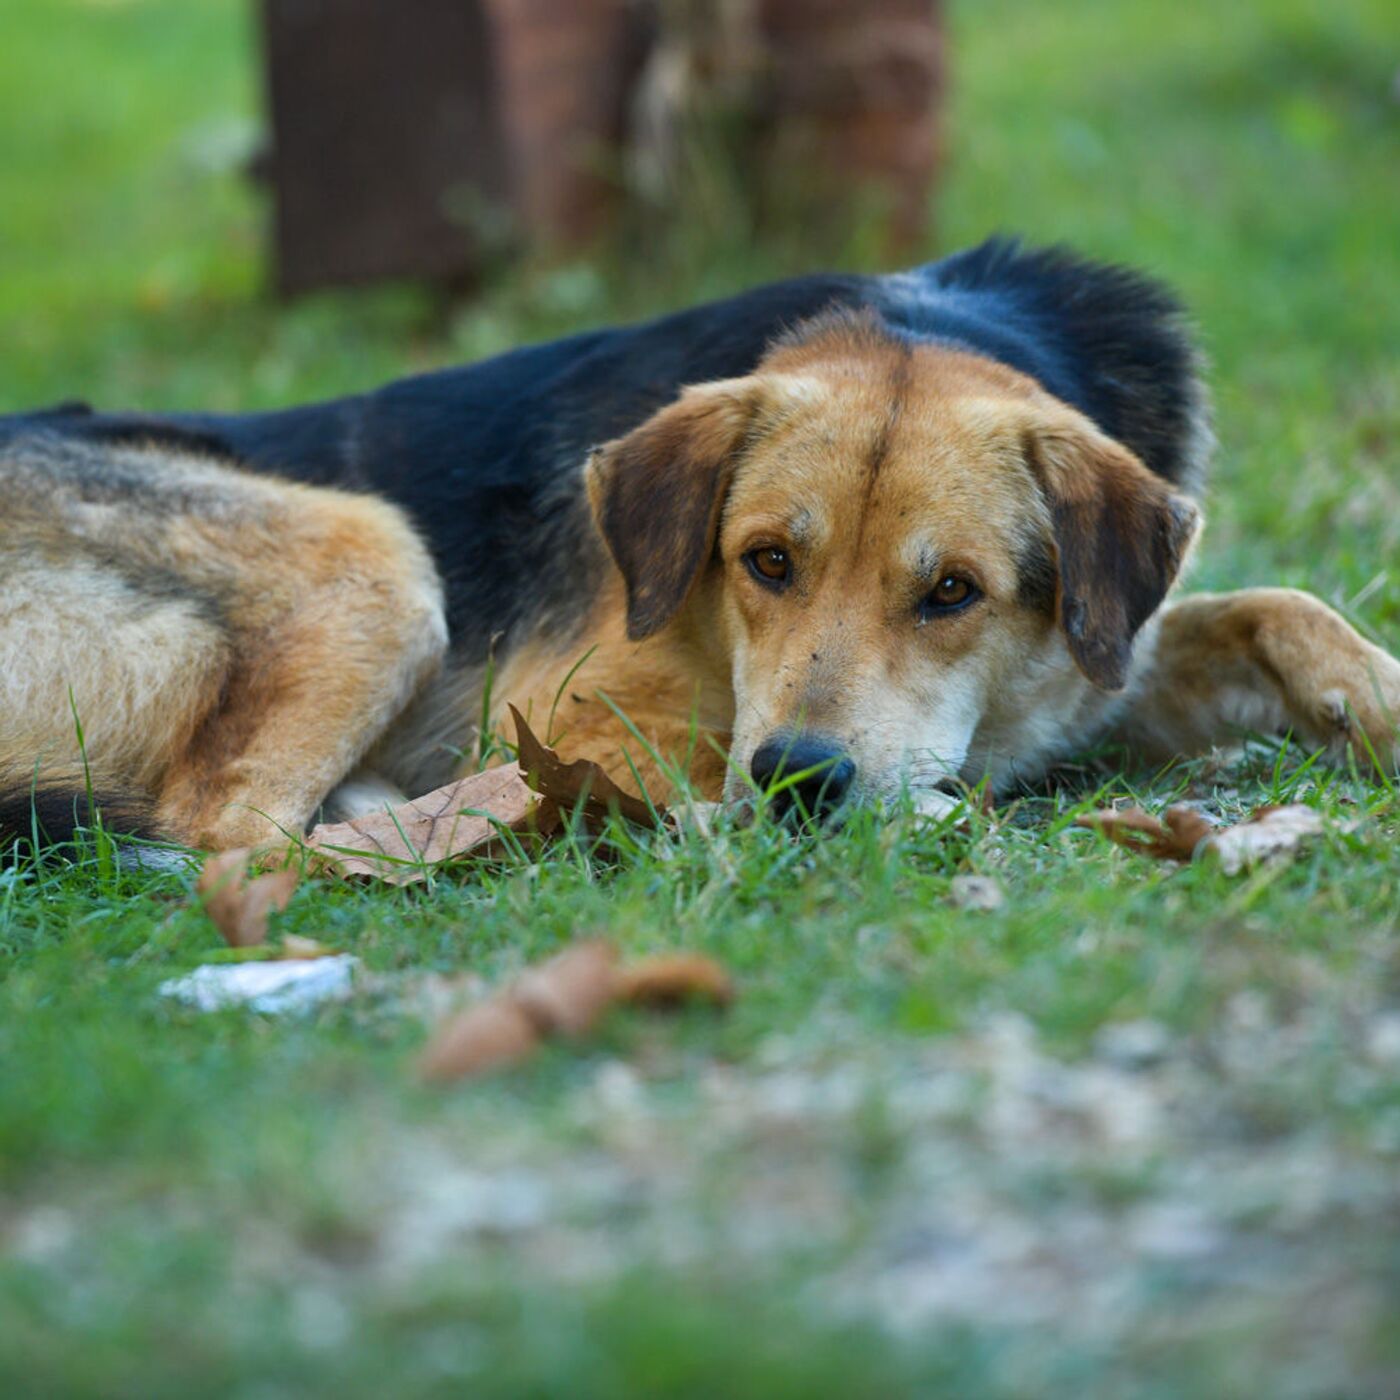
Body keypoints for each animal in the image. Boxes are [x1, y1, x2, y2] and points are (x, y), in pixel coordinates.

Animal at [2, 238, 1400, 851]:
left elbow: (1275, 604)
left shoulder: (1100, 663)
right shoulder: (575, 712)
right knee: (221, 830)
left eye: (953, 591)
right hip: (377, 558)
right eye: (764, 562)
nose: (797, 779)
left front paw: (1373, 695)